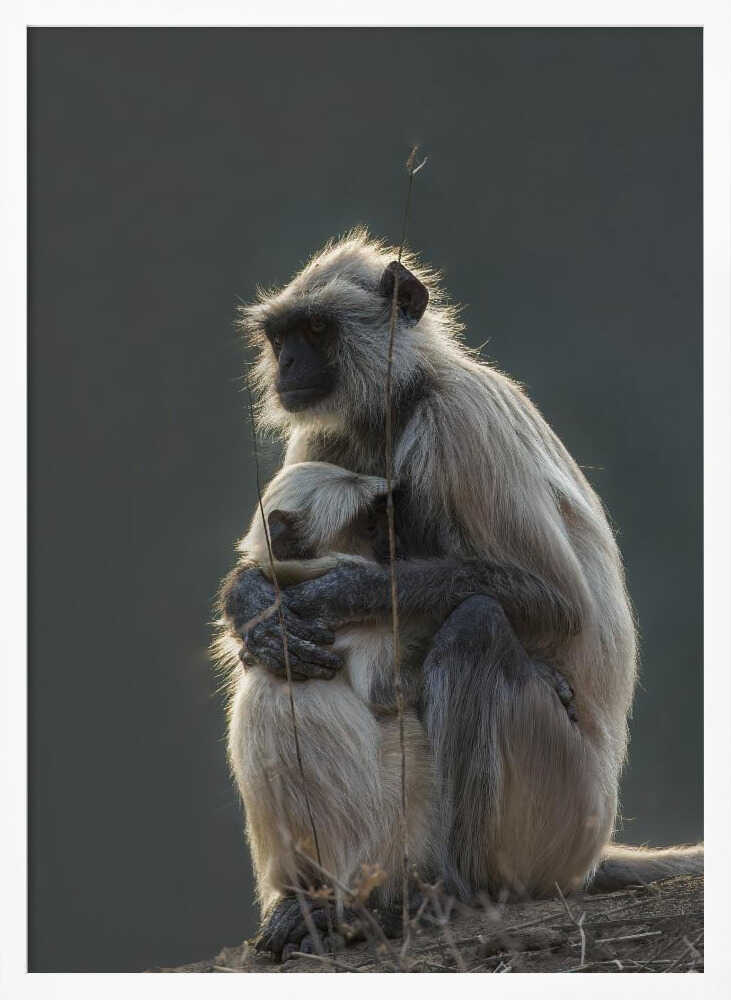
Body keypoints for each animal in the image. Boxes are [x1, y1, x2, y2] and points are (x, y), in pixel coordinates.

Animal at [218, 229, 703, 958]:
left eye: (316, 330)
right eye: (282, 337)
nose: (290, 364)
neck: (403, 397)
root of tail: (591, 850)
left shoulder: (458, 421)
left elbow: (557, 602)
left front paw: (335, 594)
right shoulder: (325, 433)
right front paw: (255, 608)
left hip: (557, 813)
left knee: (477, 622)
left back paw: (448, 893)